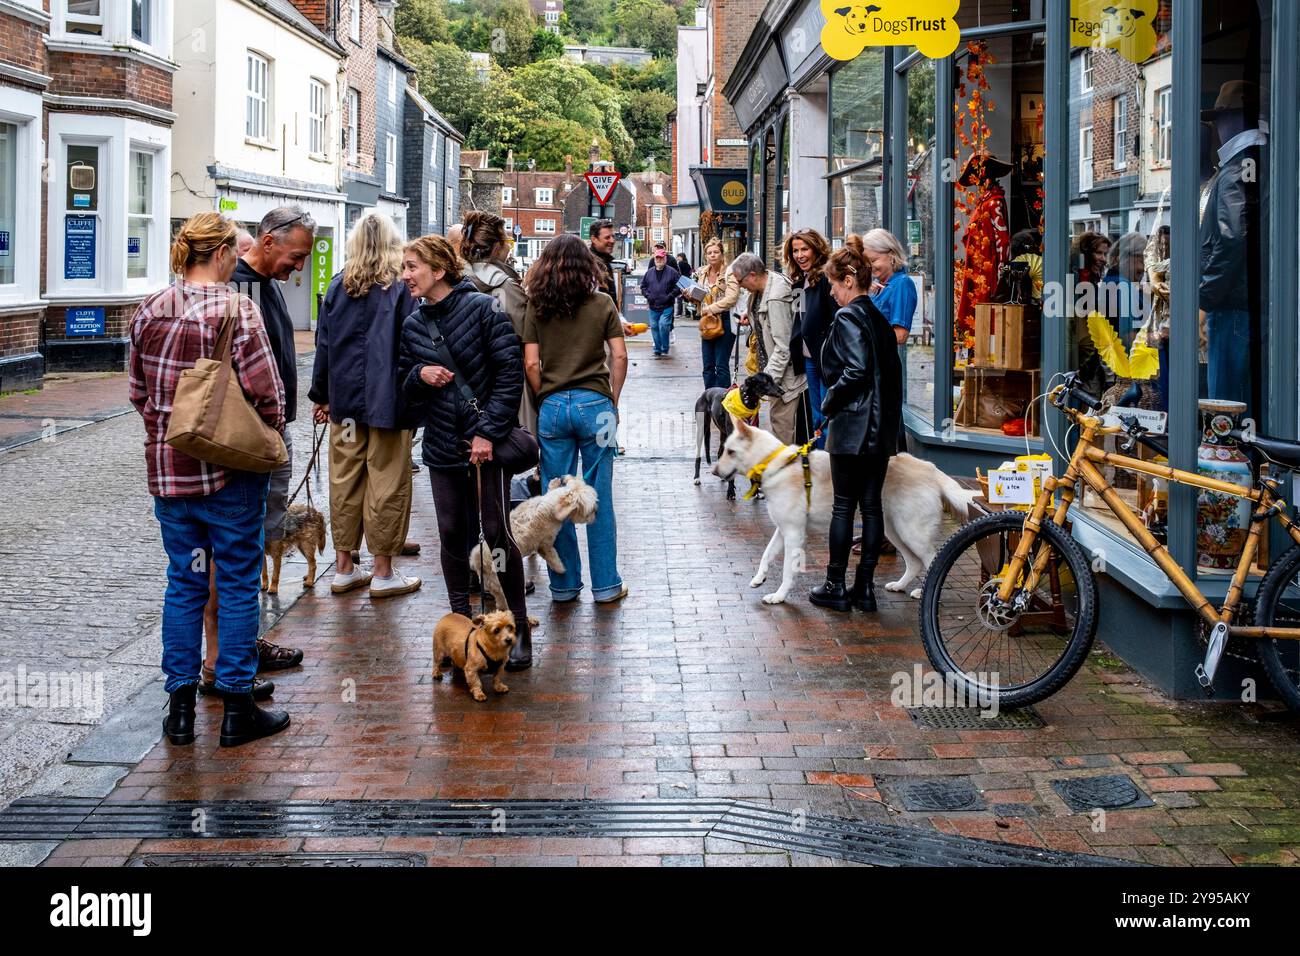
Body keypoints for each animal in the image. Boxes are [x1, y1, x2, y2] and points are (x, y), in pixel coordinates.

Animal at [473, 476, 598, 608]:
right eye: (590, 510)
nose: (596, 513)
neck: (551, 504)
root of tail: (478, 560)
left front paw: (554, 483)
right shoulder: (544, 544)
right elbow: (552, 556)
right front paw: (560, 568)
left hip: (494, 585)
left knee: (500, 600)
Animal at [712, 421, 977, 600]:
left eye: (731, 452)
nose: (714, 471)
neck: (776, 465)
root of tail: (931, 468)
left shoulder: (794, 534)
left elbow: (788, 569)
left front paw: (779, 596)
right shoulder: (783, 530)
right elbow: (766, 555)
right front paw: (759, 578)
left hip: (912, 532)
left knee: (932, 559)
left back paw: (923, 592)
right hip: (893, 530)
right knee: (913, 563)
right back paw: (900, 586)